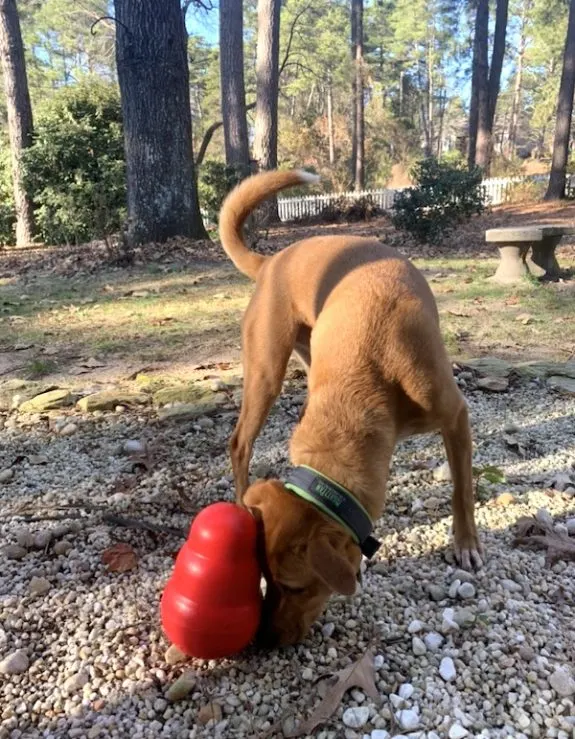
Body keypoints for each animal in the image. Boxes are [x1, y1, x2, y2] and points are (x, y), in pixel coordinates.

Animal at [218, 168, 484, 648]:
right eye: (263, 577)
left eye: (294, 586)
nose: (264, 639)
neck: (371, 369)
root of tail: (272, 261)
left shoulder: (455, 416)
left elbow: (462, 489)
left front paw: (466, 542)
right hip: (266, 371)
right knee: (239, 444)